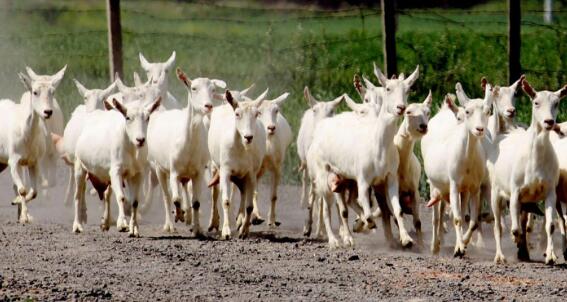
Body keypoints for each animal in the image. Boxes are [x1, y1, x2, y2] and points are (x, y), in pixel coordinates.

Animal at [490, 78, 564, 264]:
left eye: (556, 103)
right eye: (536, 102)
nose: (549, 122)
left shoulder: (550, 192)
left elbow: (550, 225)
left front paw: (550, 255)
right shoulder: (515, 192)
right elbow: (515, 228)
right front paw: (515, 239)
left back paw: (523, 251)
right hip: (495, 191)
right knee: (498, 226)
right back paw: (500, 255)